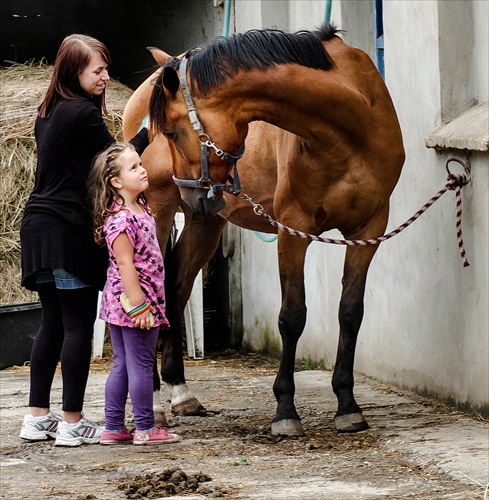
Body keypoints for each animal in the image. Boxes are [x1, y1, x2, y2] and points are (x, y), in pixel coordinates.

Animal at [135, 23, 402, 436]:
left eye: (173, 131)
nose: (190, 192)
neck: (350, 129)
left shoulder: (369, 229)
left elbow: (350, 312)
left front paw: (347, 405)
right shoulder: (293, 229)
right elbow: (292, 316)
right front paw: (286, 411)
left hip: (206, 223)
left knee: (177, 286)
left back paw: (181, 393)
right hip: (160, 211)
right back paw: (153, 402)